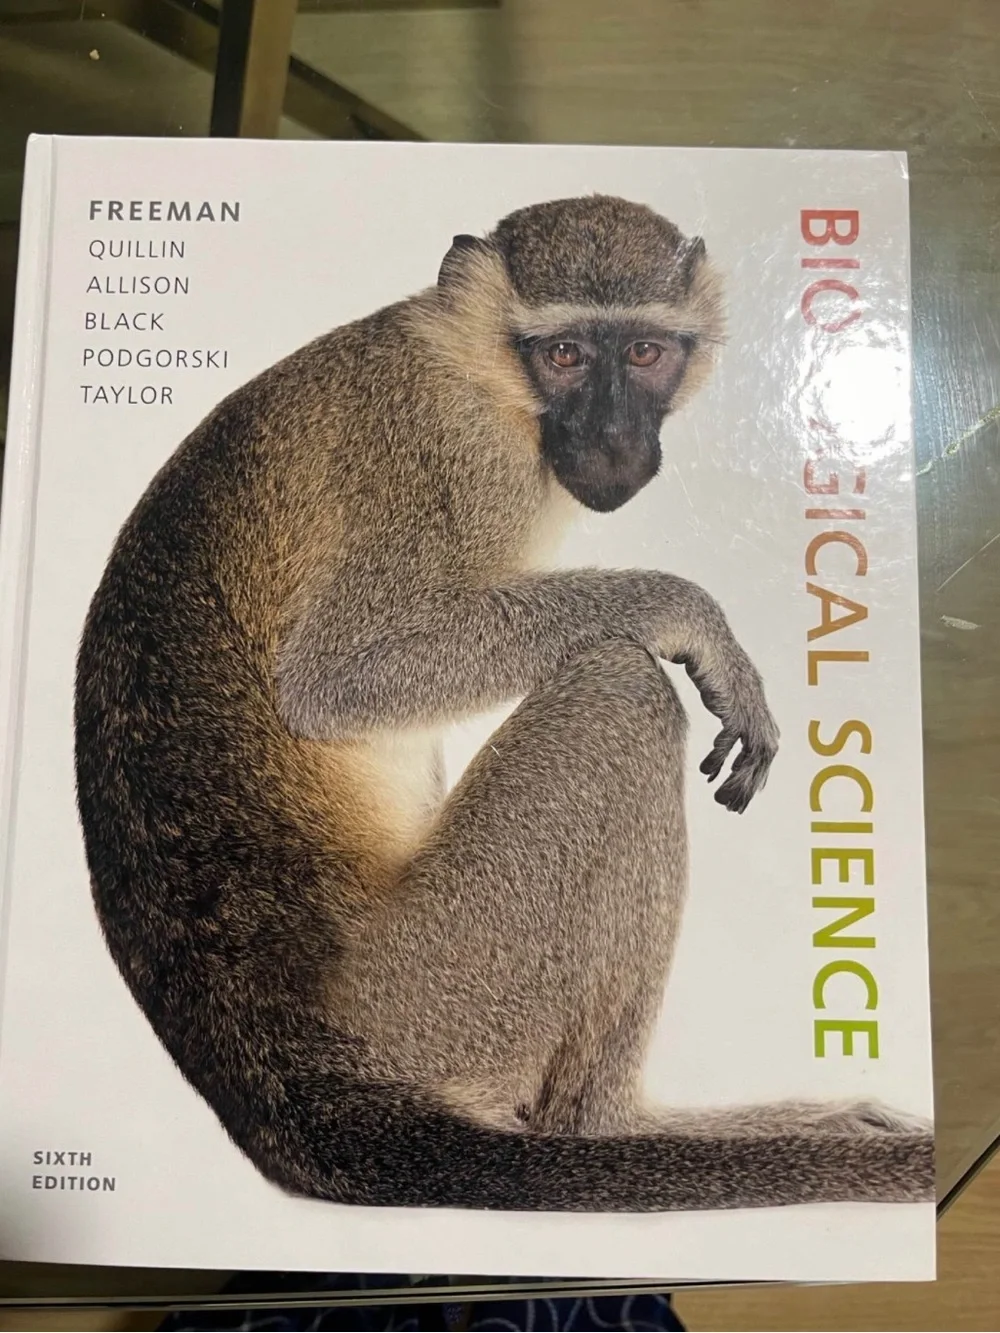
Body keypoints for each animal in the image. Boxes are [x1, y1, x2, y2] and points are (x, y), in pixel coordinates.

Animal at [73, 194, 933, 1213]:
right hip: (439, 994)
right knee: (621, 688)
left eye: (645, 351)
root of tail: (278, 1079)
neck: (479, 375)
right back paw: (610, 1128)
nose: (611, 434)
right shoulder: (446, 456)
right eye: (562, 355)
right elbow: (335, 679)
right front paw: (690, 614)